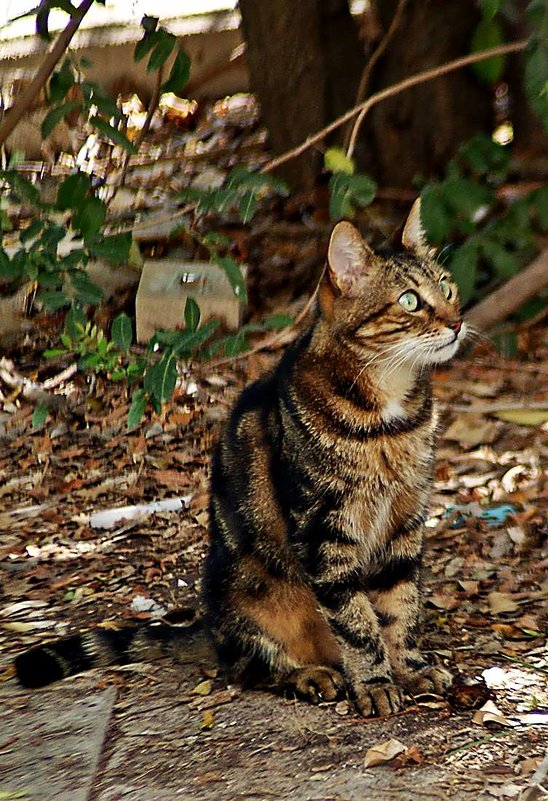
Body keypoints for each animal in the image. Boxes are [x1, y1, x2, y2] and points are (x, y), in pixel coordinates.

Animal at [15, 202, 462, 720]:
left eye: (447, 286)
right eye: (410, 301)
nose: (456, 321)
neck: (390, 415)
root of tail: (208, 628)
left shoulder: (405, 520)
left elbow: (399, 607)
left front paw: (408, 667)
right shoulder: (323, 530)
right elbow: (357, 621)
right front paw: (373, 682)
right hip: (249, 592)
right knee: (247, 667)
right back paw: (309, 675)